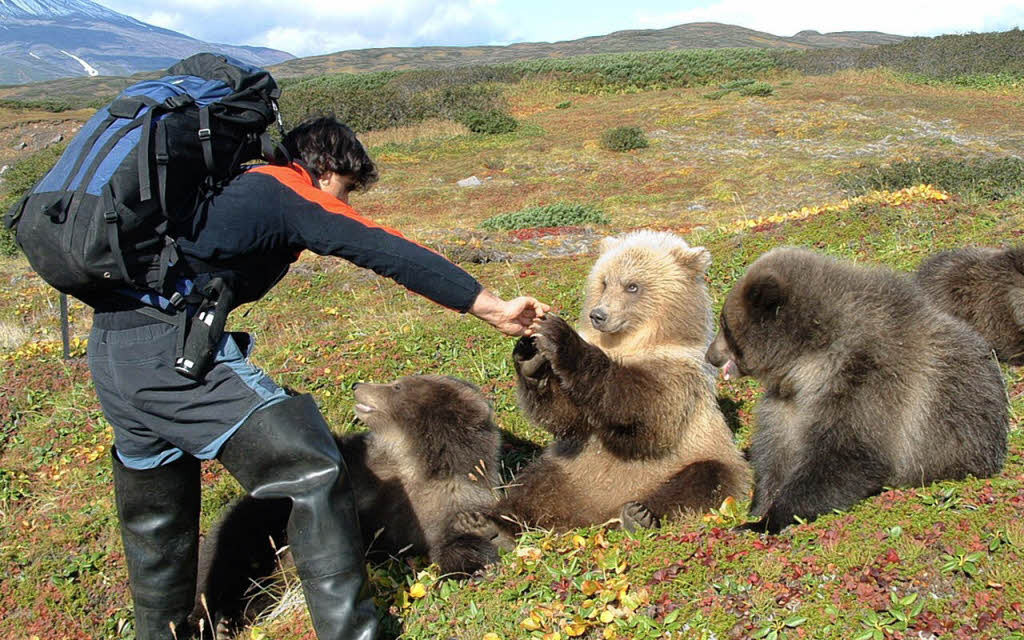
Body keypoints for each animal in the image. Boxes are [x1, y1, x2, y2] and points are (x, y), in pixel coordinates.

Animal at [193, 374, 501, 634]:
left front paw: (474, 567)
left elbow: (456, 542)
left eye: (397, 386)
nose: (358, 385)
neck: (411, 462)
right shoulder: (364, 471)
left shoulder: (450, 502)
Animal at [704, 246, 1007, 532]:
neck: (807, 363)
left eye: (724, 325)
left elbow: (846, 455)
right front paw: (757, 508)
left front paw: (768, 520)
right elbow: (776, 450)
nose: (710, 356)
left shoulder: (864, 381)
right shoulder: (789, 400)